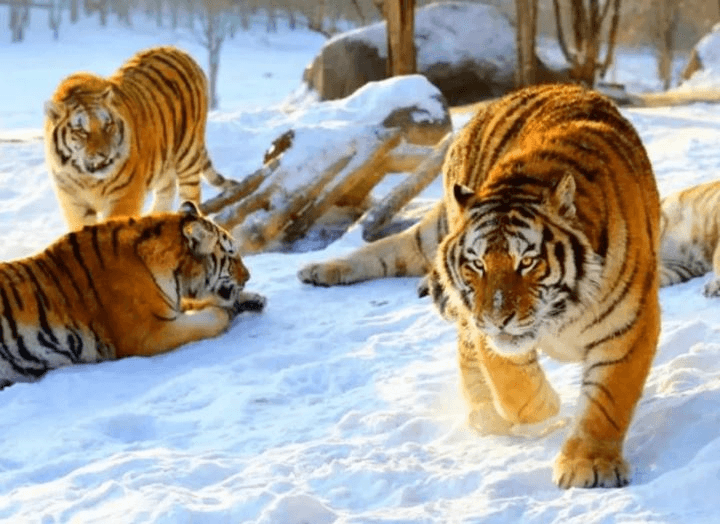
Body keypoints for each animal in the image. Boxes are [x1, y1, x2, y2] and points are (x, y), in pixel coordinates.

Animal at [0, 201, 265, 388]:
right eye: (231, 255)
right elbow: (213, 317)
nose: (248, 276)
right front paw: (227, 310)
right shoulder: (149, 333)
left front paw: (252, 299)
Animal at [44, 45, 234, 232]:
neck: (87, 179)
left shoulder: (123, 197)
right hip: (163, 162)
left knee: (191, 195)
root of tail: (179, 50)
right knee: (168, 189)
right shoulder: (74, 203)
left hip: (188, 155)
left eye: (108, 125)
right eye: (81, 131)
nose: (105, 154)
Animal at [299, 83, 661, 489]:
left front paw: (590, 464)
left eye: (527, 262)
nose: (498, 317)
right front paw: (544, 407)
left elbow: (607, 402)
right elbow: (513, 383)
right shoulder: (486, 327)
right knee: (397, 251)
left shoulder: (628, 327)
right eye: (477, 264)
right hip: (443, 236)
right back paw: (317, 269)